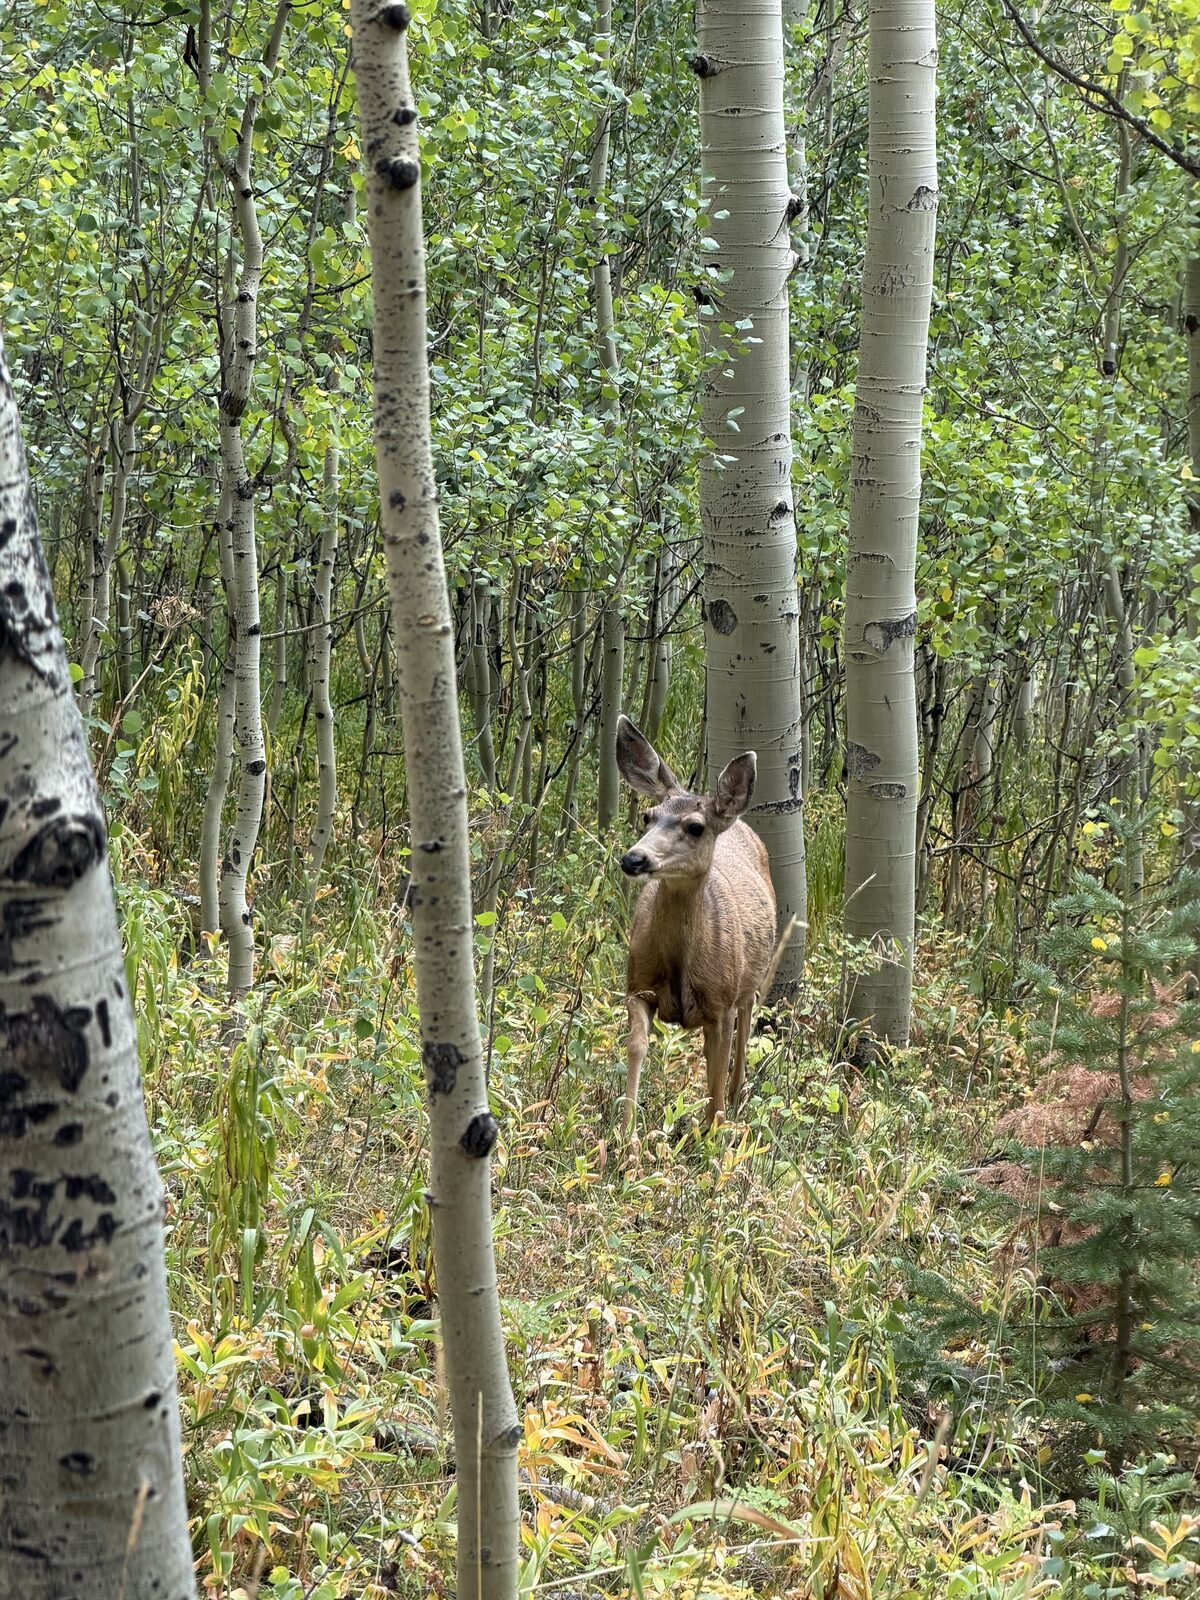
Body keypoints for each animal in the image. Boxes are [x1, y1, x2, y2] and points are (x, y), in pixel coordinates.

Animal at [614, 714, 776, 1137]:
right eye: (648, 817)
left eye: (695, 827)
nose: (634, 858)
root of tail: (737, 822)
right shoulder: (637, 987)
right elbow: (636, 1045)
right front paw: (626, 1135)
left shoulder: (721, 1002)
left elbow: (718, 1068)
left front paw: (713, 1136)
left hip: (748, 980)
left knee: (743, 1032)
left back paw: (737, 1098)